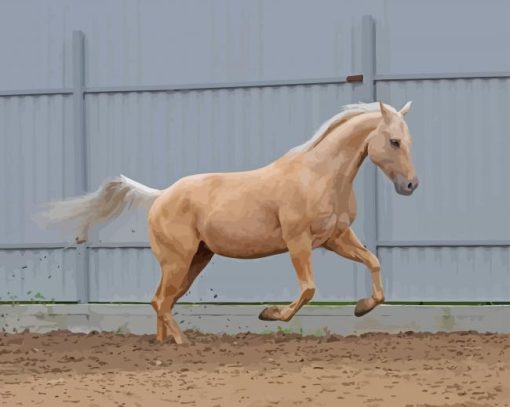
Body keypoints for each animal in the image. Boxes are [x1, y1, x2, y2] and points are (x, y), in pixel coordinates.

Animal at [38, 101, 418, 344]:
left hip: (194, 260)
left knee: (161, 300)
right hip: (178, 261)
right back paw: (183, 343)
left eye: (408, 141)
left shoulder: (335, 237)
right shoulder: (298, 242)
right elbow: (308, 289)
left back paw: (163, 343)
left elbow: (373, 262)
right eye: (394, 141)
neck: (319, 175)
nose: (411, 185)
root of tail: (160, 196)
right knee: (162, 301)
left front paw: (362, 308)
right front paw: (269, 314)